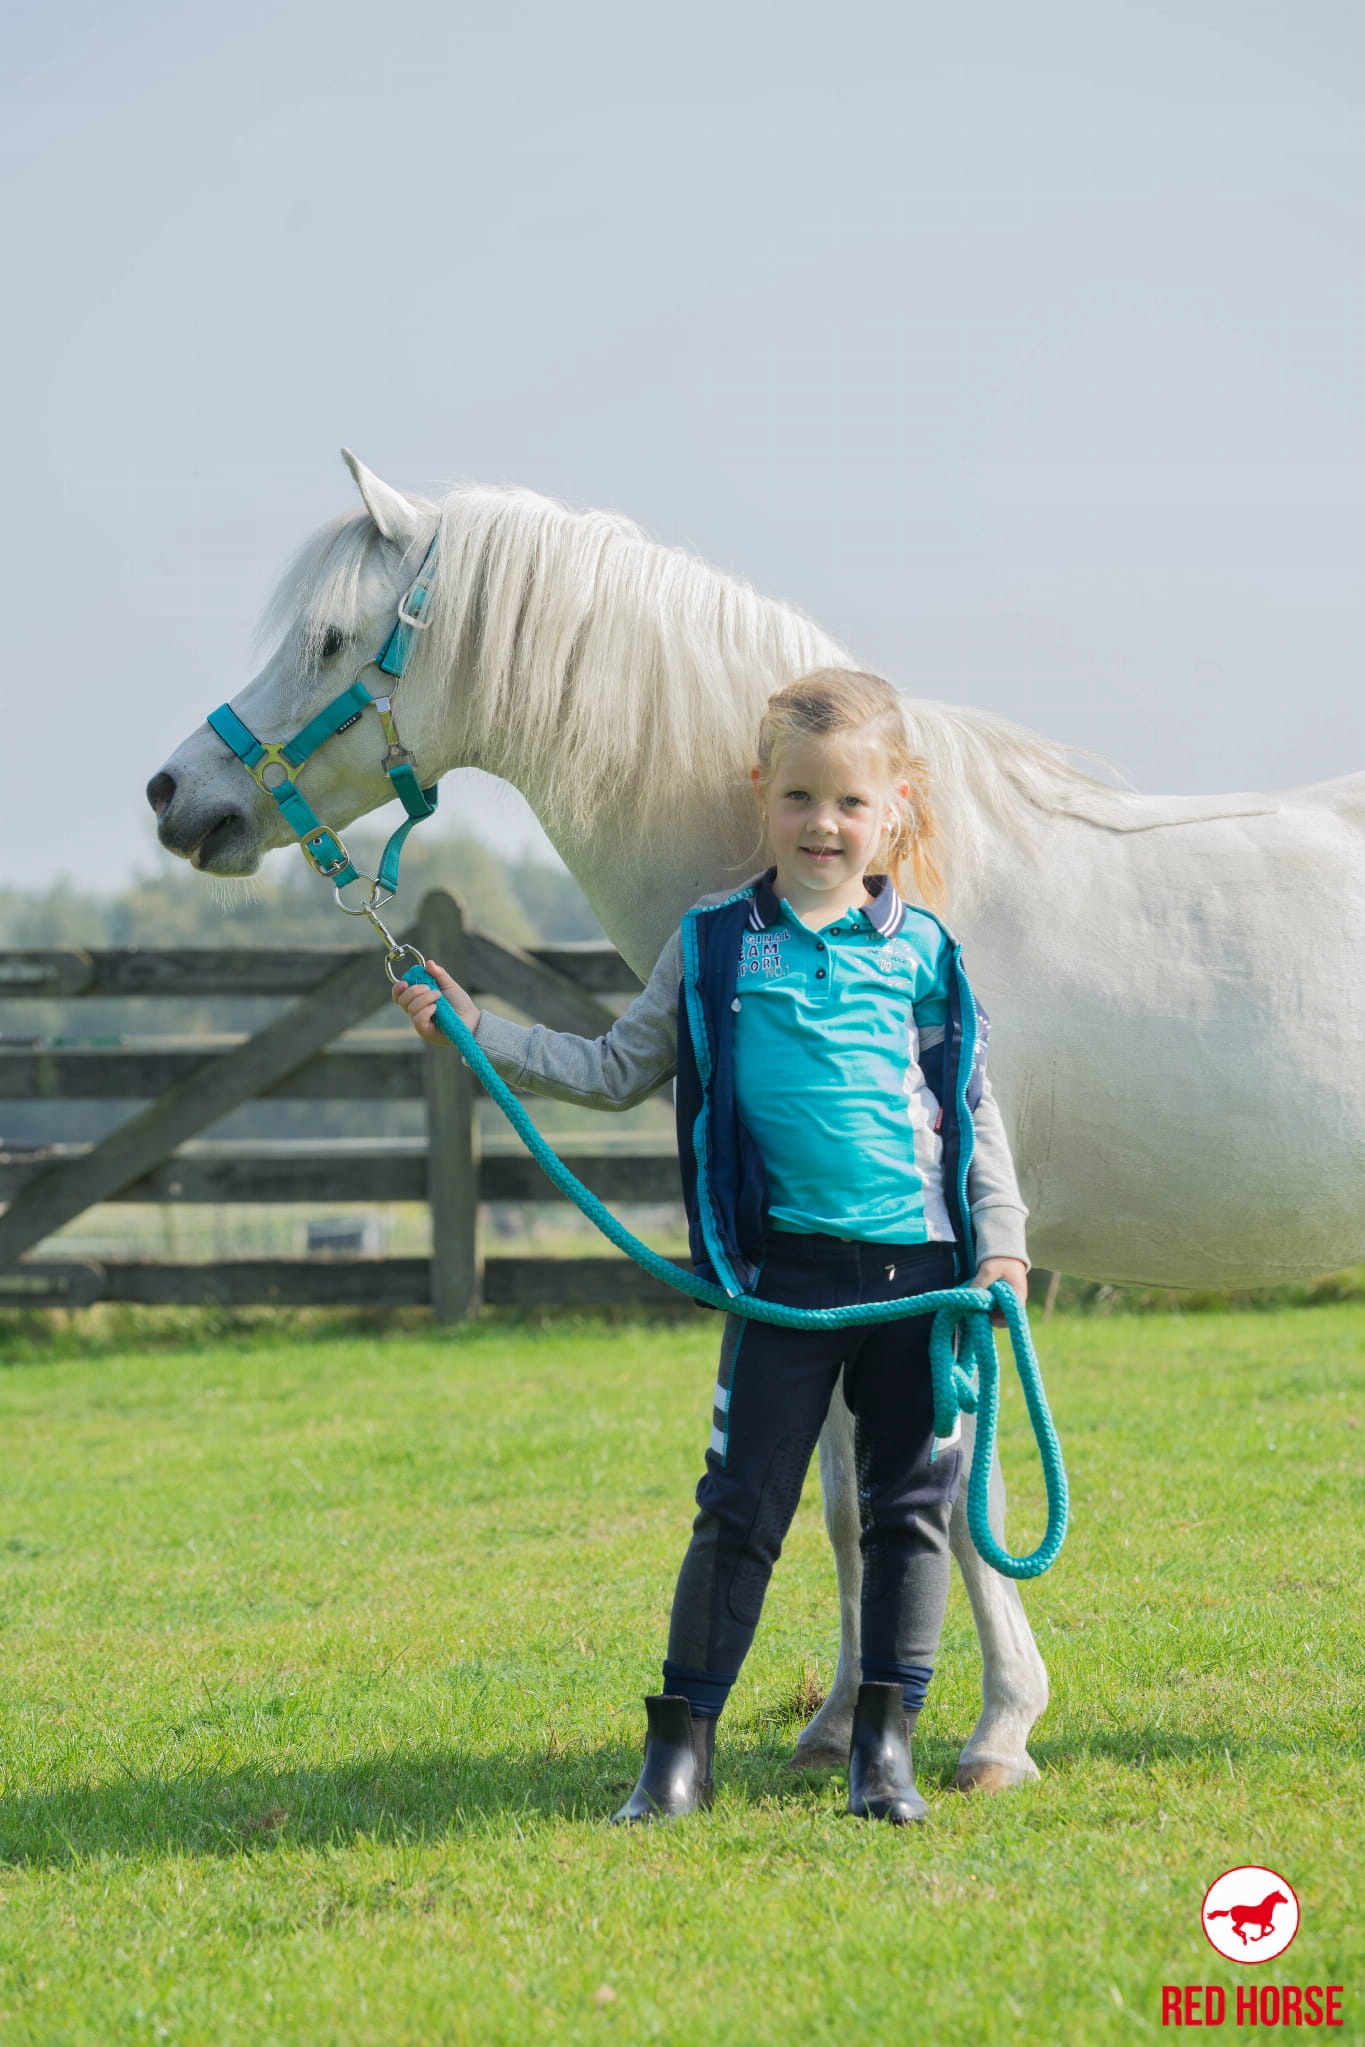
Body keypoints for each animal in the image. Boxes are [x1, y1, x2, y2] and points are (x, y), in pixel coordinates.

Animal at [148, 450, 1365, 1789]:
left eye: (326, 640)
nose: (177, 793)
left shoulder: (967, 1274)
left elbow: (959, 1497)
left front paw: (1001, 1729)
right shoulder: (830, 1291)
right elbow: (842, 1503)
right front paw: (838, 1722)